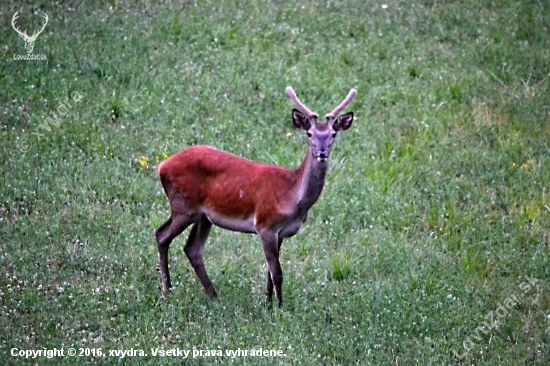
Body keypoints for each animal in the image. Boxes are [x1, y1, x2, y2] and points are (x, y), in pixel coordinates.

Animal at [155, 86, 358, 306]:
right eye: (310, 133)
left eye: (333, 134)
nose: (322, 153)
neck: (293, 197)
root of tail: (162, 166)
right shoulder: (265, 225)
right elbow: (277, 272)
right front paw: (279, 306)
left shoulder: (280, 233)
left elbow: (270, 272)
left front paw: (268, 303)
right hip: (184, 206)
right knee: (161, 235)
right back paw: (167, 290)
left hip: (203, 216)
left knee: (192, 248)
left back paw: (212, 294)